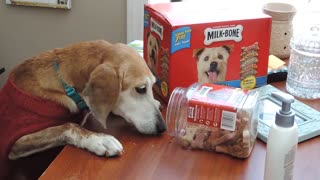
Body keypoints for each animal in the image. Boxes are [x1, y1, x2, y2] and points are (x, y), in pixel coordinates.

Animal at [0, 40, 165, 177]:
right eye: (141, 89)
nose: (163, 127)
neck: (67, 86)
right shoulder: (17, 142)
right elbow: (68, 126)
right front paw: (98, 139)